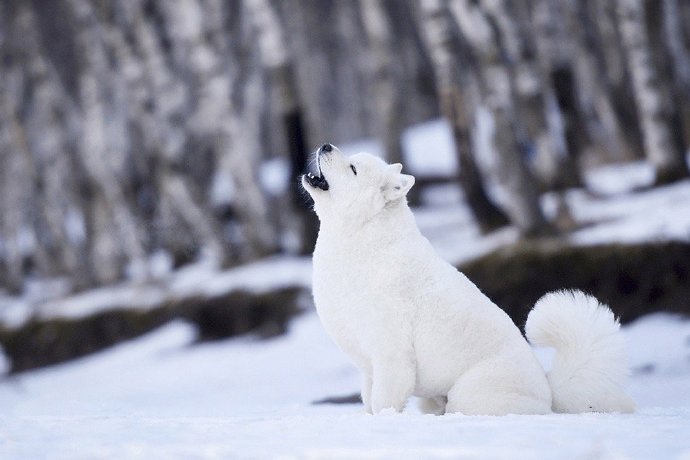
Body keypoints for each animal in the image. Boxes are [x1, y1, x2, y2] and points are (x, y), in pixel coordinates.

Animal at [300, 145, 636, 416]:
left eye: (353, 168)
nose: (325, 145)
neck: (365, 243)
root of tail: (548, 392)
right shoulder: (368, 367)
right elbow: (368, 402)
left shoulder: (391, 357)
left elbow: (383, 403)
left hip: (467, 394)